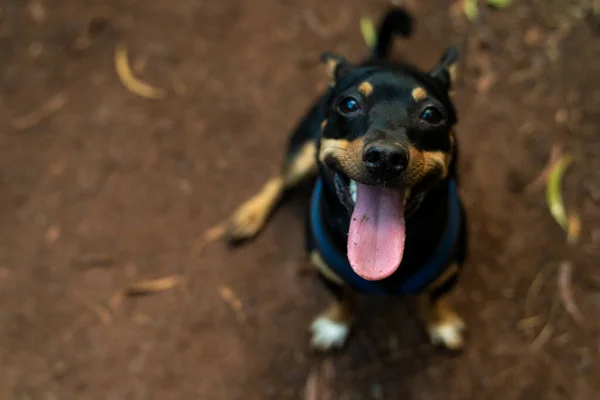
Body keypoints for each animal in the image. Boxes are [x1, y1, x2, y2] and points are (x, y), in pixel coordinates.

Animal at [211, 7, 468, 352]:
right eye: (348, 104)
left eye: (432, 114)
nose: (385, 157)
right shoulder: (325, 269)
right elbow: (342, 297)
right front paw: (335, 324)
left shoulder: (451, 270)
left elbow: (434, 297)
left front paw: (441, 322)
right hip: (302, 150)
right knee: (280, 178)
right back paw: (249, 215)